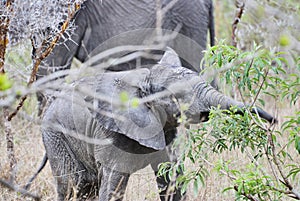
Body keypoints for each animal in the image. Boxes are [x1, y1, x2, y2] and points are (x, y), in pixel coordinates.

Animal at [42, 48, 276, 200]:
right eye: (178, 96)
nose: (273, 121)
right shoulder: (112, 133)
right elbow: (113, 184)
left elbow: (171, 176)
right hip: (56, 135)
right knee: (73, 185)